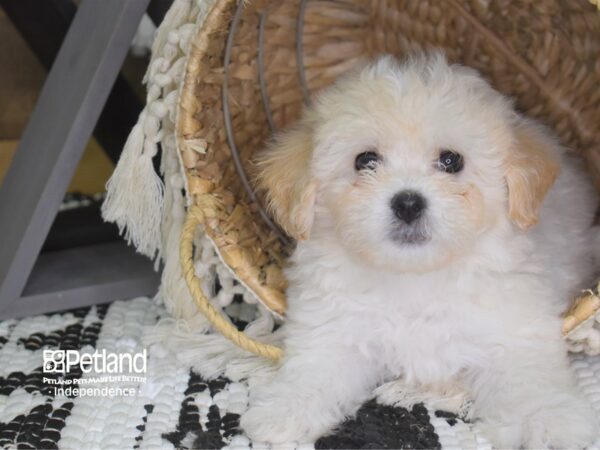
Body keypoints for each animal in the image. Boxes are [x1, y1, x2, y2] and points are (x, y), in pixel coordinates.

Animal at [240, 52, 600, 446]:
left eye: (451, 160)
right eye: (365, 160)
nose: (408, 203)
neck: (415, 276)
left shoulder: (514, 328)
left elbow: (531, 378)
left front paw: (552, 420)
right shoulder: (333, 328)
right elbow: (314, 366)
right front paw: (284, 409)